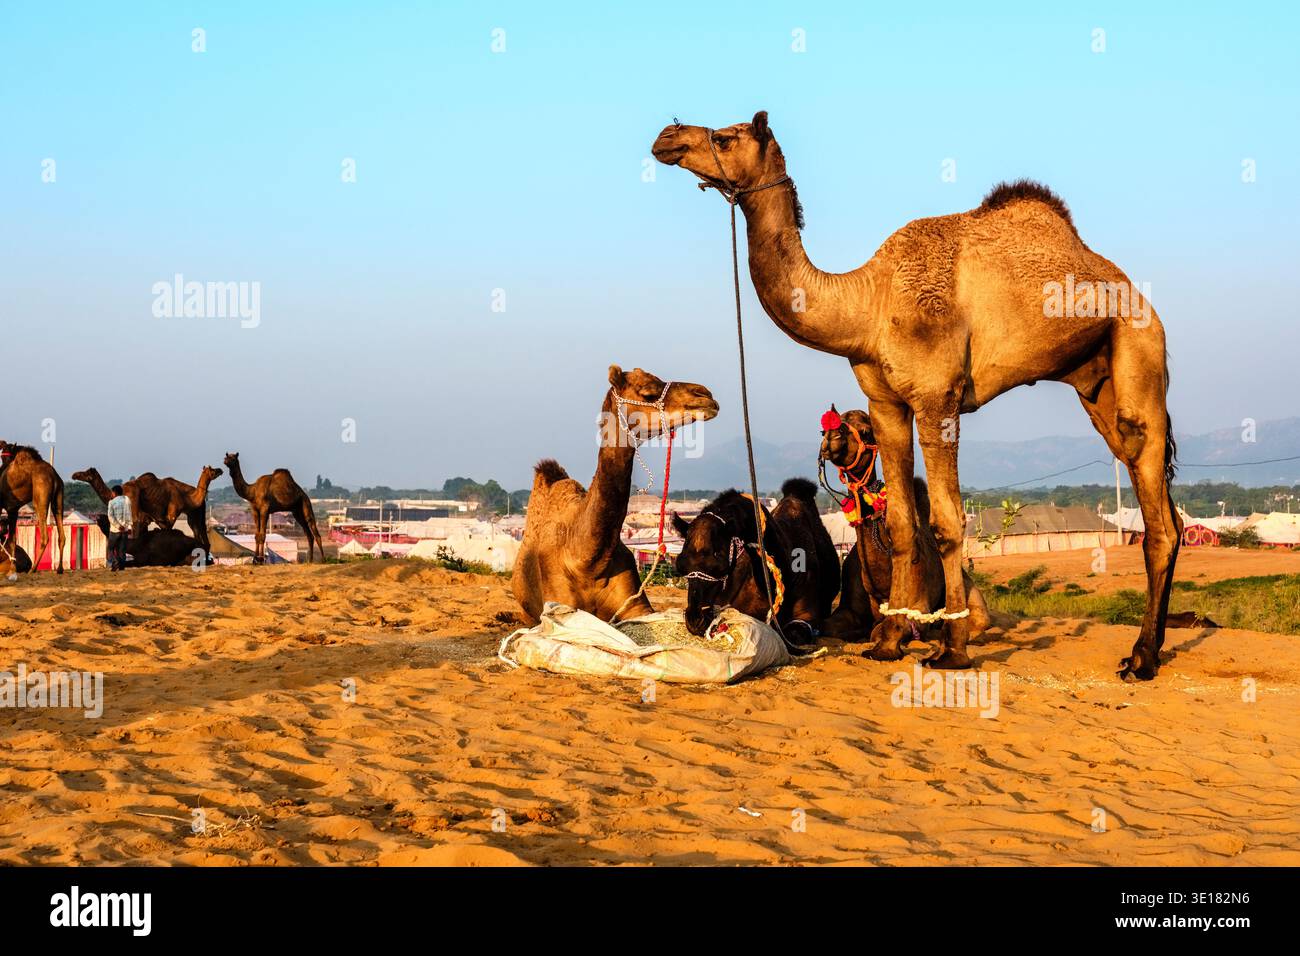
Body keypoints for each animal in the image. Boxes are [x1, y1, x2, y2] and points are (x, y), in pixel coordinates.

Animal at [0, 441, 66, 573]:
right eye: (2, 456)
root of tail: (54, 476)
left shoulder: (7, 507)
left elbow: (10, 539)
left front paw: (12, 568)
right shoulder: (13, 509)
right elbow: (12, 539)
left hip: (40, 497)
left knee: (45, 537)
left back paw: (34, 568)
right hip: (59, 497)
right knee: (61, 533)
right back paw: (60, 569)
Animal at [820, 407, 989, 642]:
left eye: (866, 432)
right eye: (822, 431)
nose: (832, 436)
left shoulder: (917, 606)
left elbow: (879, 631)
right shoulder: (848, 608)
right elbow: (828, 627)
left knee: (979, 619)